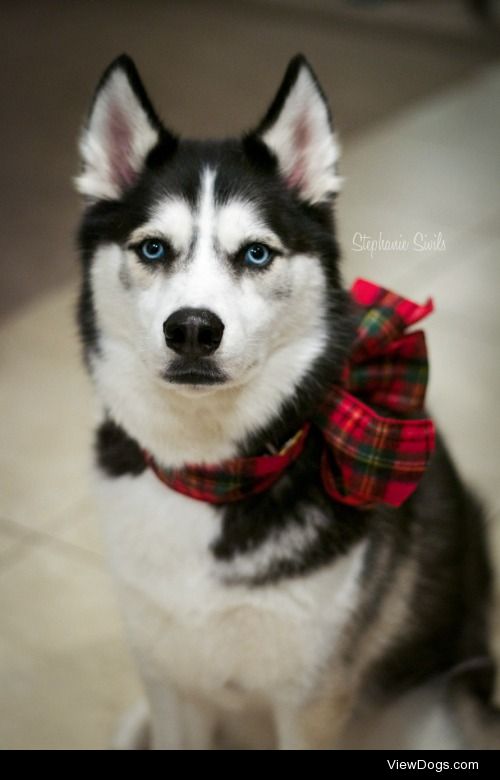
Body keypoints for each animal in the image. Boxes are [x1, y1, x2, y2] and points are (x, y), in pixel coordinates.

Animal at [75, 54, 500, 748]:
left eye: (255, 253)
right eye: (153, 248)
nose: (193, 328)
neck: (212, 477)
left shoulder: (312, 700)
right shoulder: (169, 682)